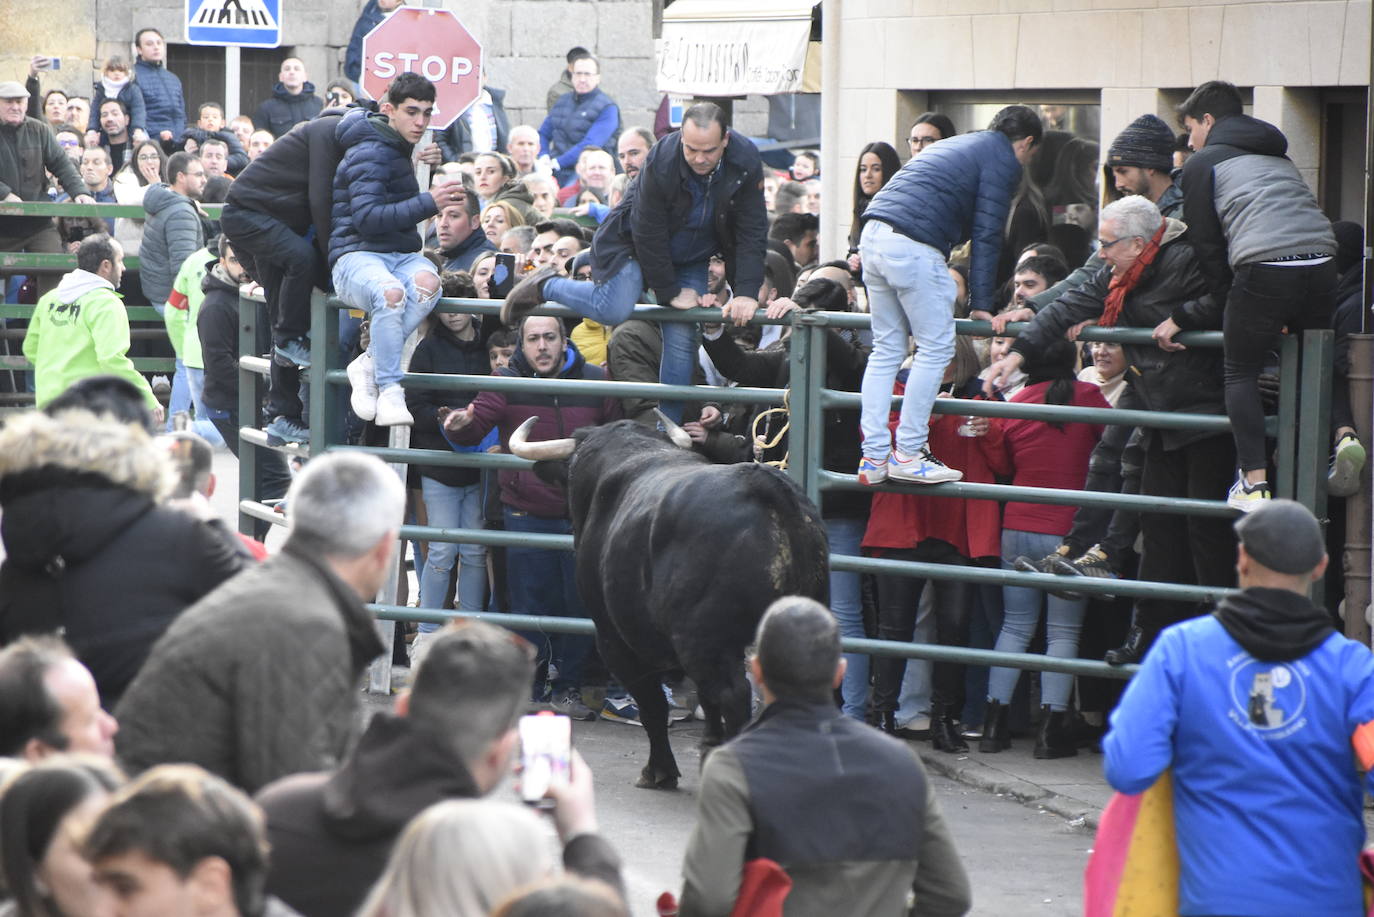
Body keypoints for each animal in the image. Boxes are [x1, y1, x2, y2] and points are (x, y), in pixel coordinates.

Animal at [516, 420, 824, 786]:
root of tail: (764, 488)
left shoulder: (615, 640)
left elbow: (653, 706)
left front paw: (659, 770)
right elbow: (702, 698)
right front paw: (707, 746)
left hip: (703, 642)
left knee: (733, 695)